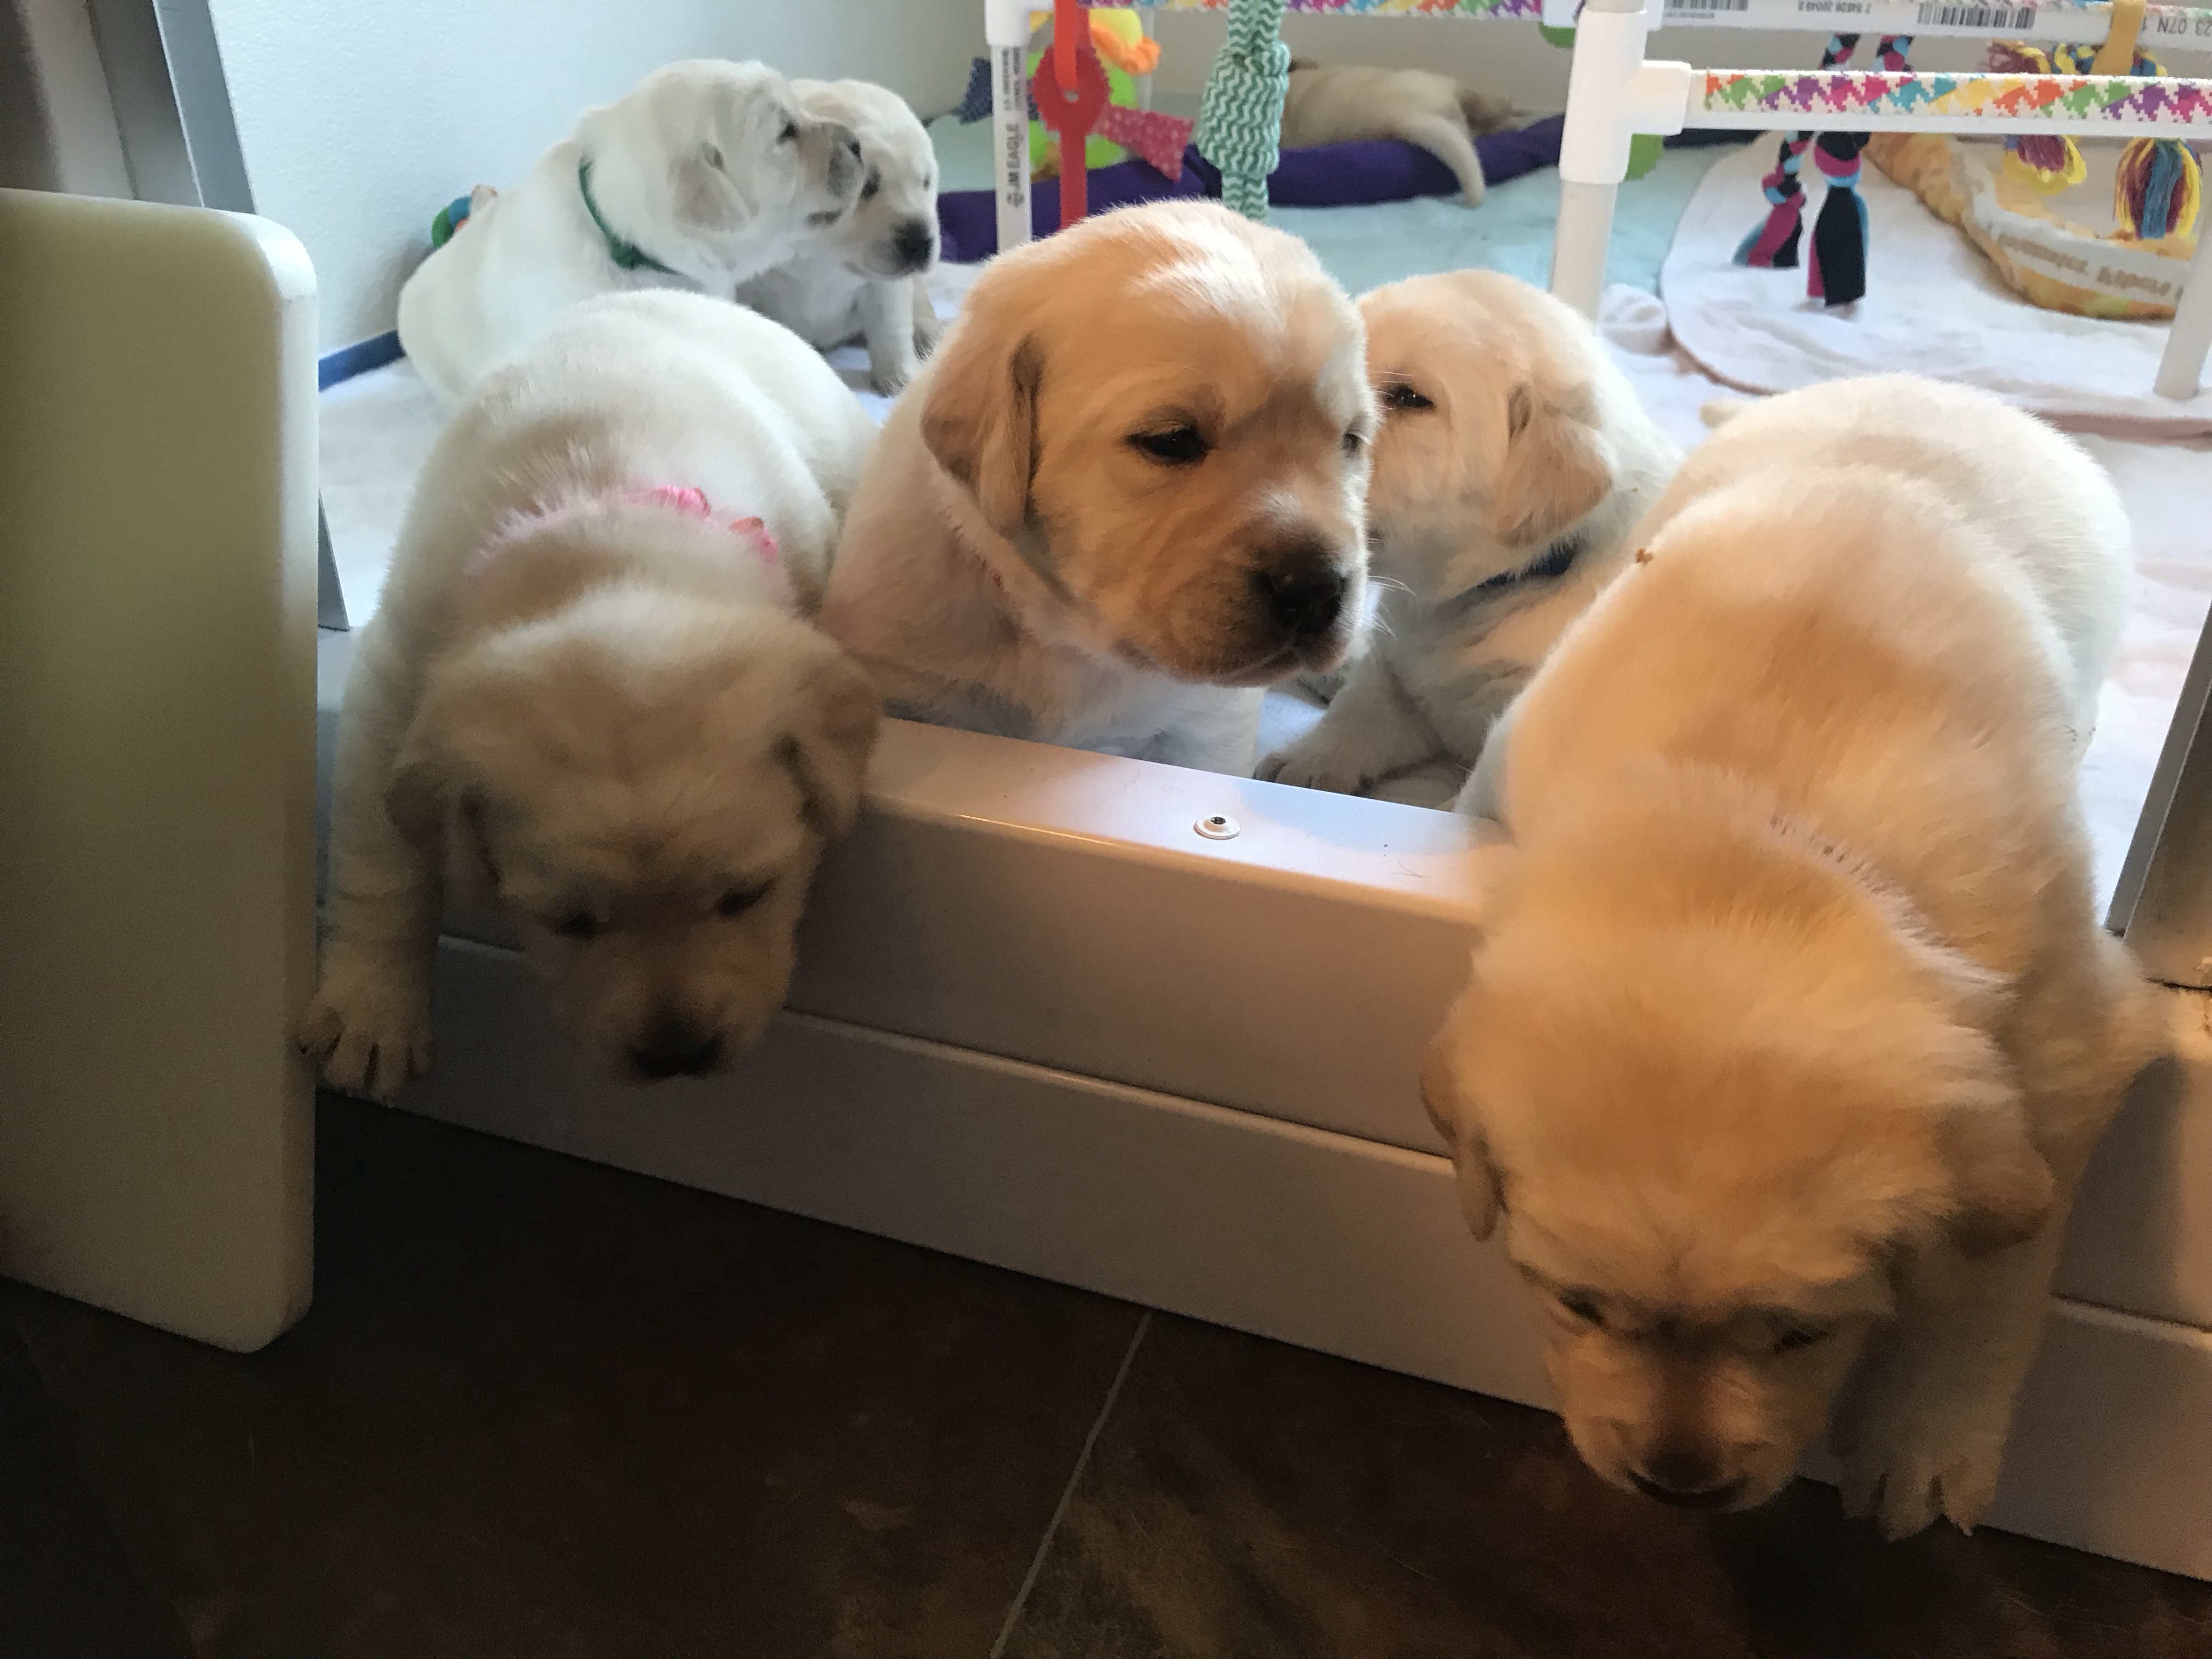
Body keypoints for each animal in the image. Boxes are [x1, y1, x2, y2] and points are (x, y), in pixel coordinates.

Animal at [300, 291, 882, 1098]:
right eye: (569, 921)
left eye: (748, 896)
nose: (677, 1056)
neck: (608, 557)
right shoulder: (398, 666)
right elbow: (378, 852)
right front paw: (370, 1008)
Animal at [734, 79, 943, 395]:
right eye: (867, 185)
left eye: (926, 182)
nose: (921, 241)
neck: (818, 256)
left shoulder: (884, 287)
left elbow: (891, 327)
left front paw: (900, 379)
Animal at [818, 199, 1376, 776]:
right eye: (1171, 440)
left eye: (1351, 440)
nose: (1314, 588)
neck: (1070, 636)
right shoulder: (908, 686)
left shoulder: (1203, 731)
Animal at [1421, 375, 2161, 1539]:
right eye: (1578, 1302)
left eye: (1803, 1333)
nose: (1677, 1482)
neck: (1744, 848)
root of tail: (1934, 386)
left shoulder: (2071, 1028)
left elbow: (1991, 1259)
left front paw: (1922, 1433)